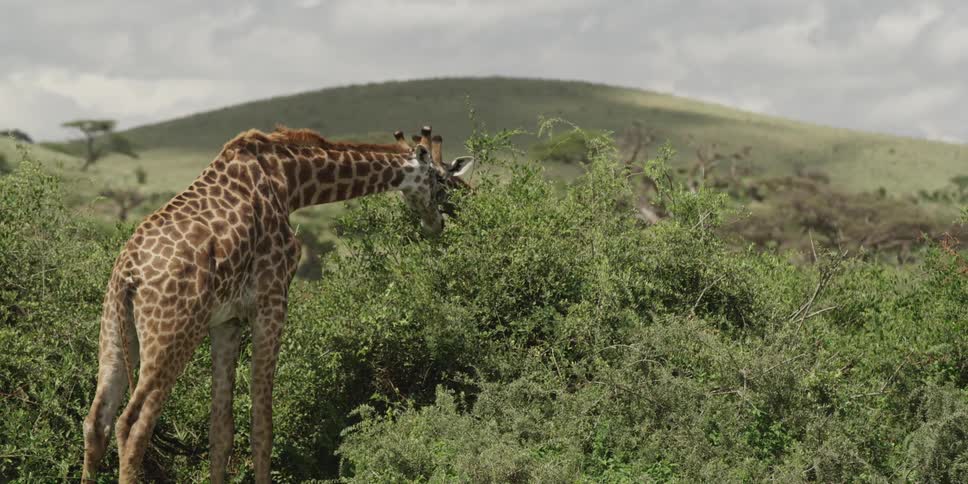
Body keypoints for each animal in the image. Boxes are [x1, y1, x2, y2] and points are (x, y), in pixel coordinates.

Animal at [81, 124, 475, 483]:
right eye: (442, 181)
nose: (442, 221)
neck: (291, 181)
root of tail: (129, 275)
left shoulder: (226, 320)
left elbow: (221, 429)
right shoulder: (271, 299)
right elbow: (262, 424)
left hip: (114, 330)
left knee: (96, 421)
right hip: (172, 334)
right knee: (131, 426)